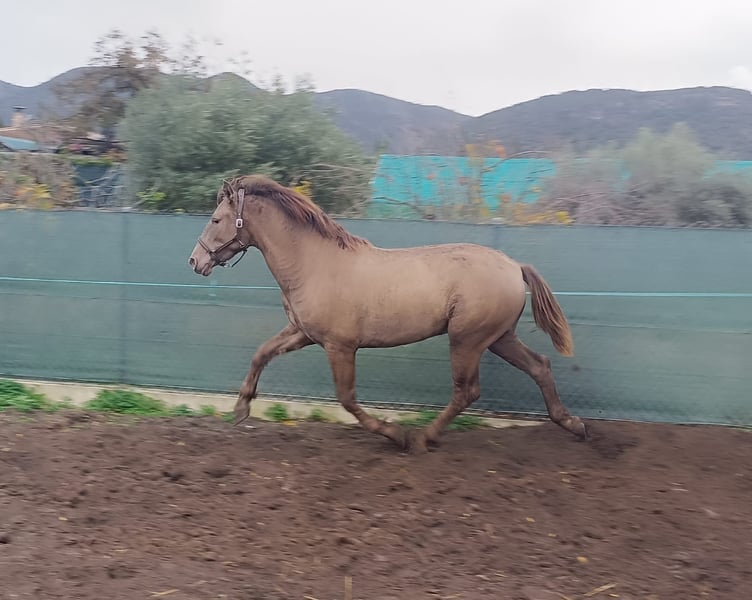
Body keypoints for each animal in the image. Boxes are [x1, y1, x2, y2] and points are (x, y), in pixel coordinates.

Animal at [188, 175, 588, 453]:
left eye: (216, 219)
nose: (195, 261)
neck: (315, 264)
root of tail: (514, 266)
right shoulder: (303, 333)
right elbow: (261, 353)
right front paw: (241, 410)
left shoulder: (340, 346)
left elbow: (347, 398)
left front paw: (395, 434)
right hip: (498, 338)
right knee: (539, 367)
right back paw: (575, 425)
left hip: (468, 339)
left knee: (467, 391)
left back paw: (422, 439)